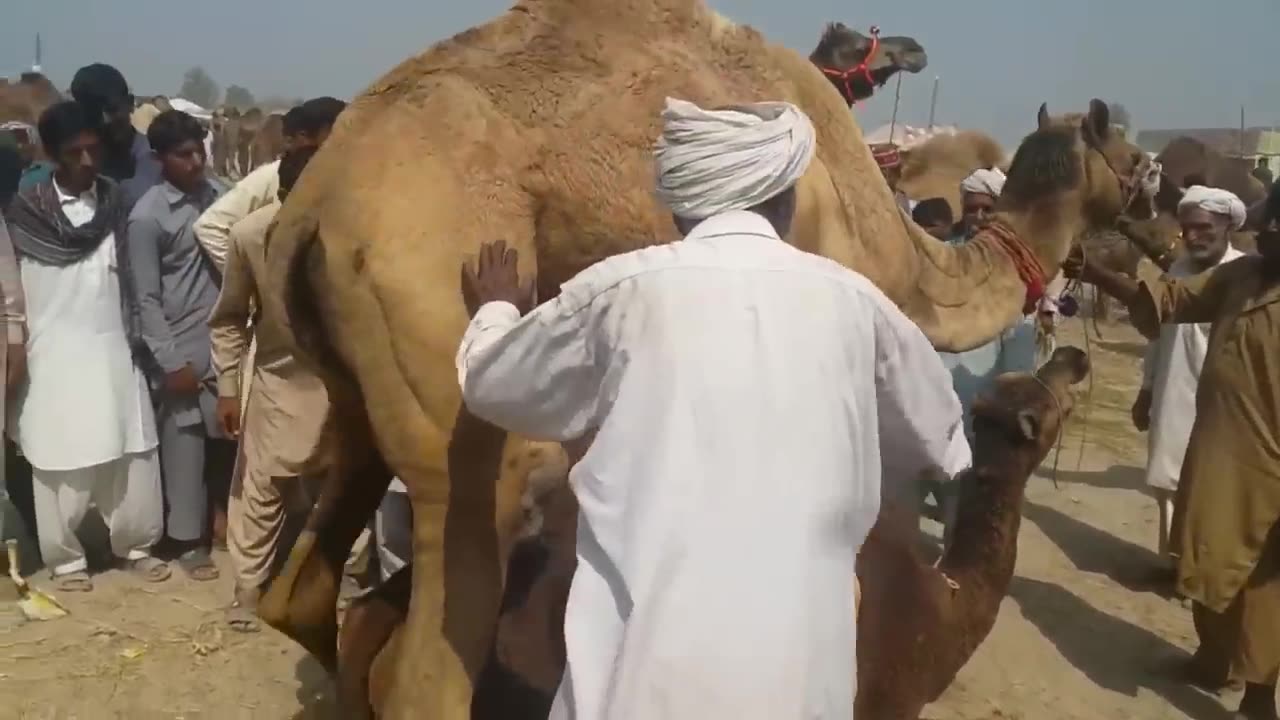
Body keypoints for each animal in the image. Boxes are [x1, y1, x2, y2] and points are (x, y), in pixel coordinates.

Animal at [254, 2, 1146, 712]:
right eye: (1136, 160)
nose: (1150, 232)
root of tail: (313, 209)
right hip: (441, 343)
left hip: (356, 385)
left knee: (302, 597)